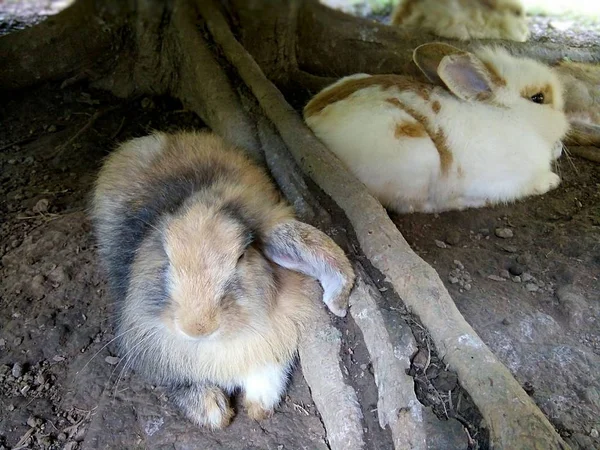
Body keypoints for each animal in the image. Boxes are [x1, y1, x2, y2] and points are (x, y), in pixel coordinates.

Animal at [91, 130, 354, 428]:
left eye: (241, 256)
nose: (197, 327)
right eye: (166, 256)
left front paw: (258, 407)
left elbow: (269, 371)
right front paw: (215, 413)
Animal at [302, 41, 568, 214]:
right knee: (412, 205)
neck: (513, 117)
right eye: (538, 98)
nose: (559, 148)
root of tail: (311, 120)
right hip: (417, 153)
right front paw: (552, 181)